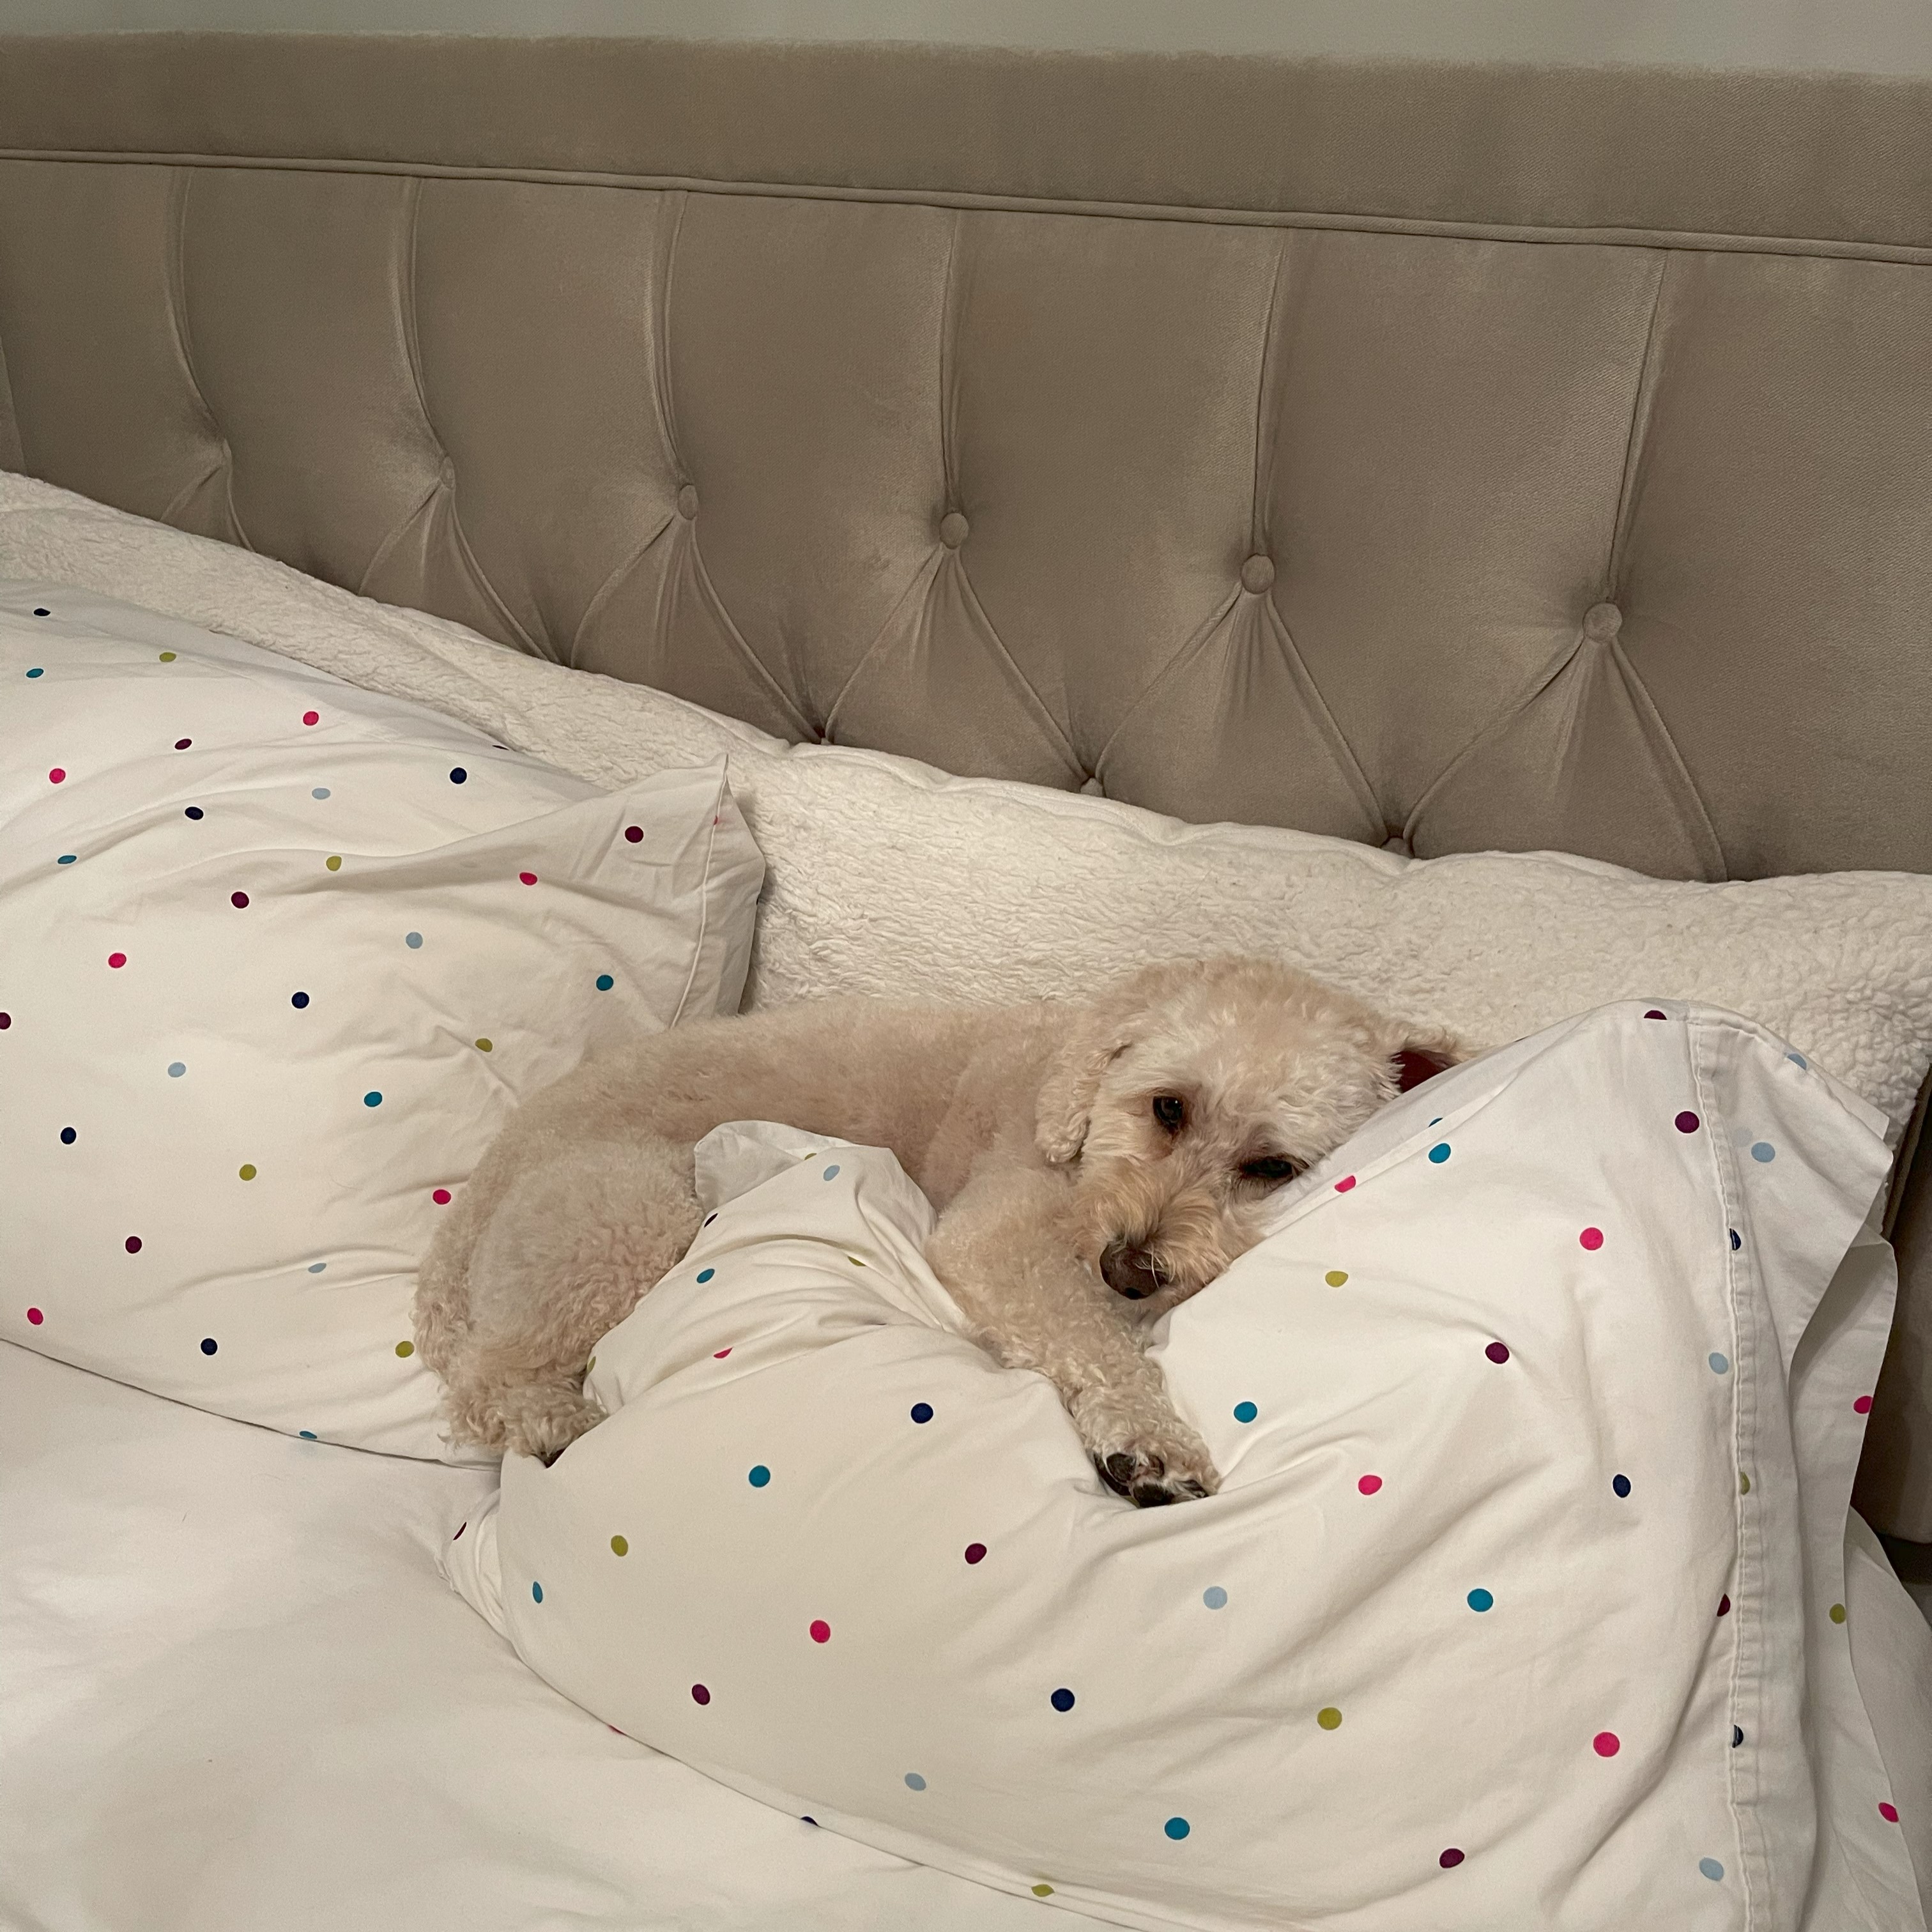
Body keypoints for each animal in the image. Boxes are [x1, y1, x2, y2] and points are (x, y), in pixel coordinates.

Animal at [419, 958, 1453, 1499]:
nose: (1128, 1269)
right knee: (489, 1378)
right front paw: (1153, 1443)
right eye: (1169, 1107)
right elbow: (1089, 1338)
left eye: (1272, 1168)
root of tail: (469, 1214)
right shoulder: (1003, 1235)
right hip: (623, 1217)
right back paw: (556, 1426)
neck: (1073, 1094)